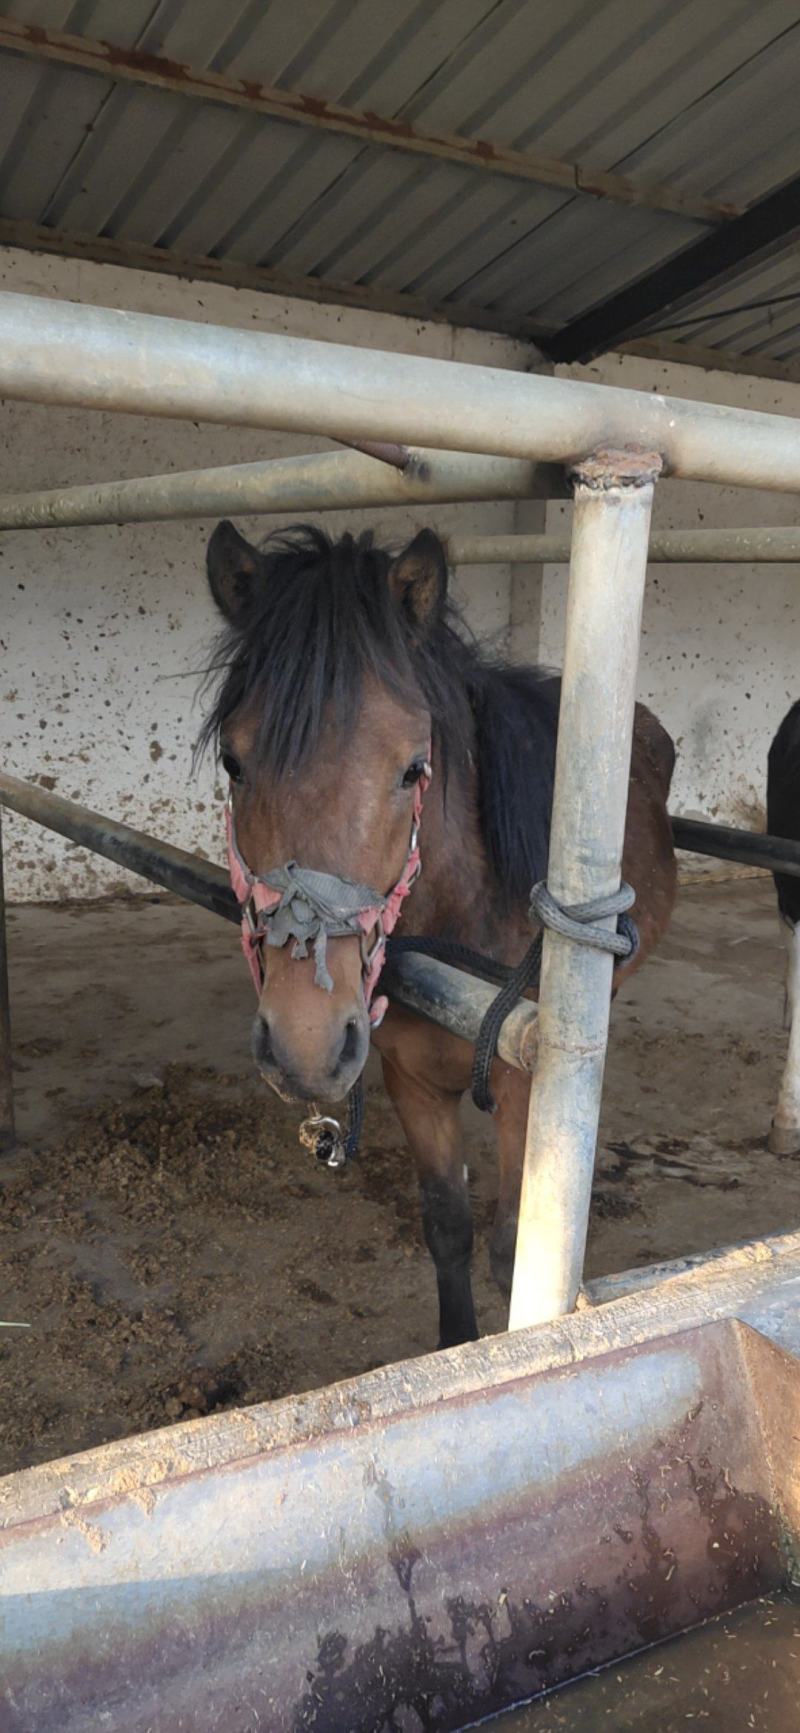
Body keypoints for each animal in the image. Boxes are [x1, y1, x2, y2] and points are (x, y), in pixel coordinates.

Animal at [201, 520, 677, 1348]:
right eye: (234, 760)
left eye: (412, 767)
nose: (305, 1043)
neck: (464, 923)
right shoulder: (410, 1080)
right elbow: (447, 1226)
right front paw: (457, 1346)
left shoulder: (526, 1093)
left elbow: (515, 1249)